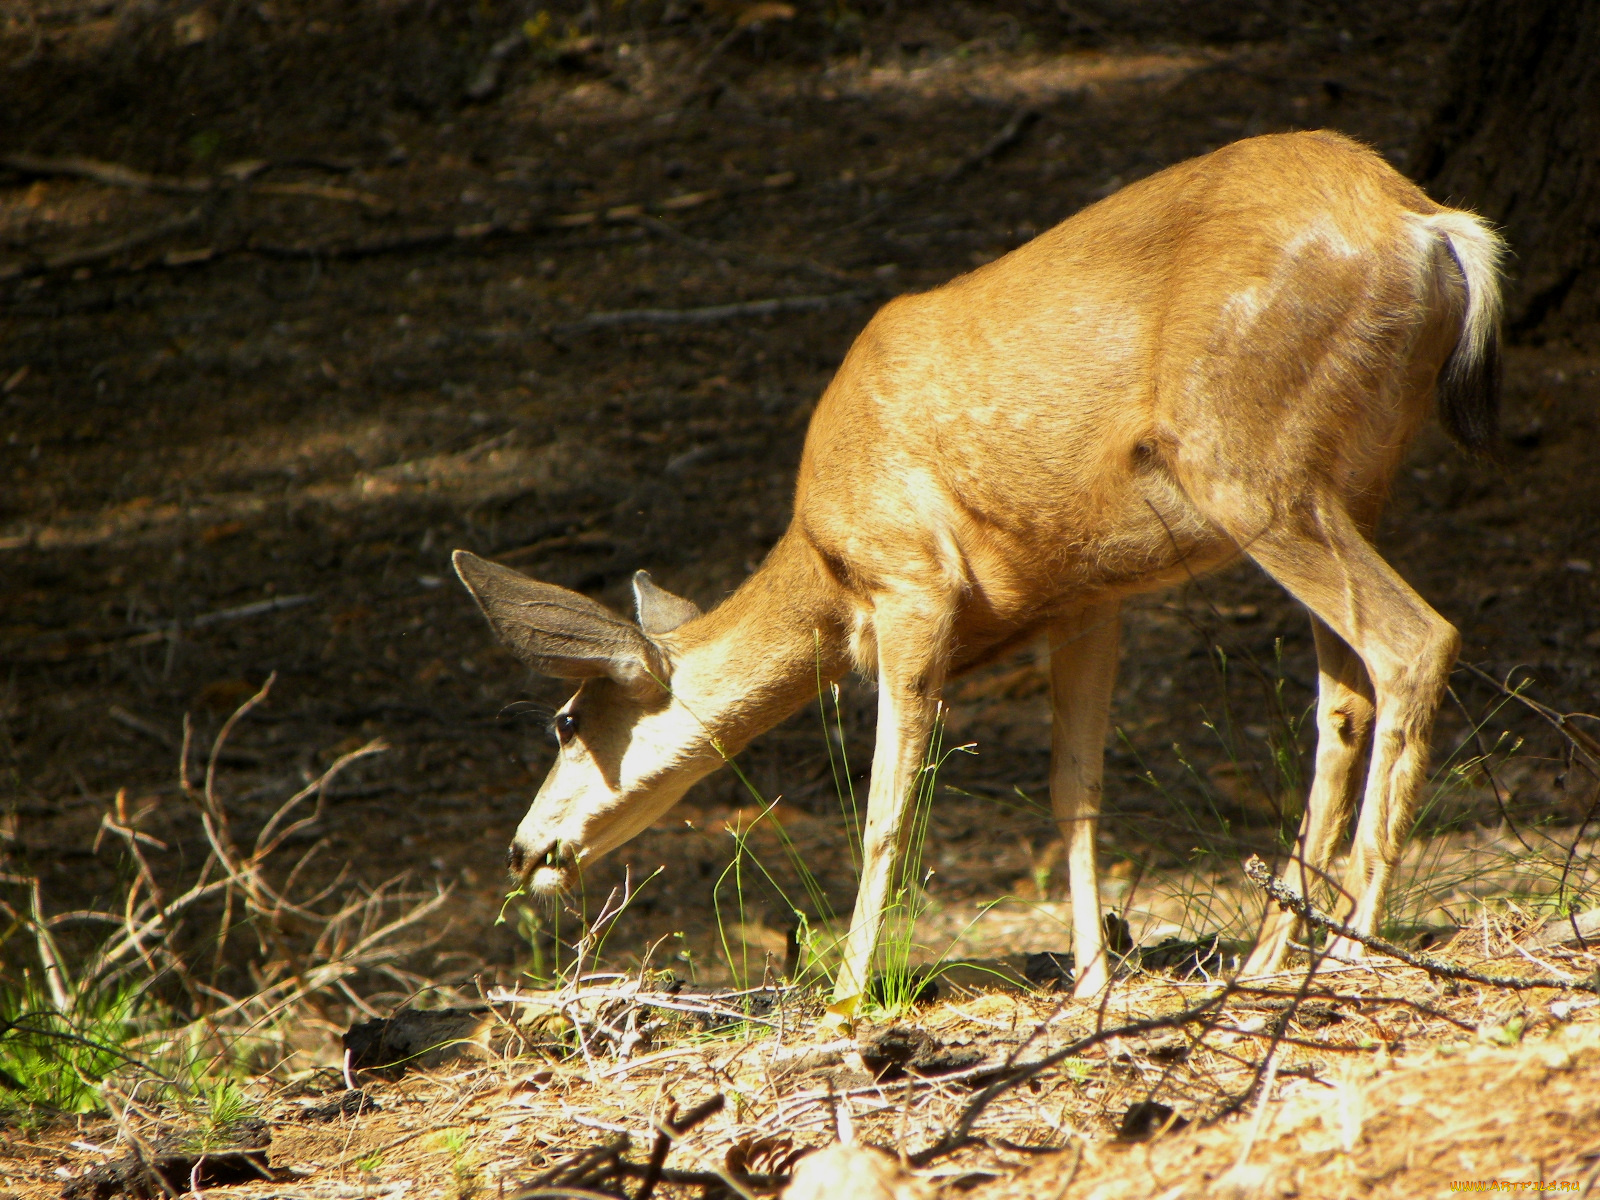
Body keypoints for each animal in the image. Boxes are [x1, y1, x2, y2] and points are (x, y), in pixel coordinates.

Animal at [451, 131, 1497, 1030]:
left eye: (565, 721)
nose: (523, 851)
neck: (824, 567)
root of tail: (1432, 226)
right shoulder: (1089, 597)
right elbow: (1075, 792)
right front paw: (1090, 981)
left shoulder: (911, 580)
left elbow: (886, 811)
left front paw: (847, 997)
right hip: (1348, 479)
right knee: (1343, 697)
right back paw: (1272, 956)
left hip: (1249, 466)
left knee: (1415, 641)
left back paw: (1357, 948)